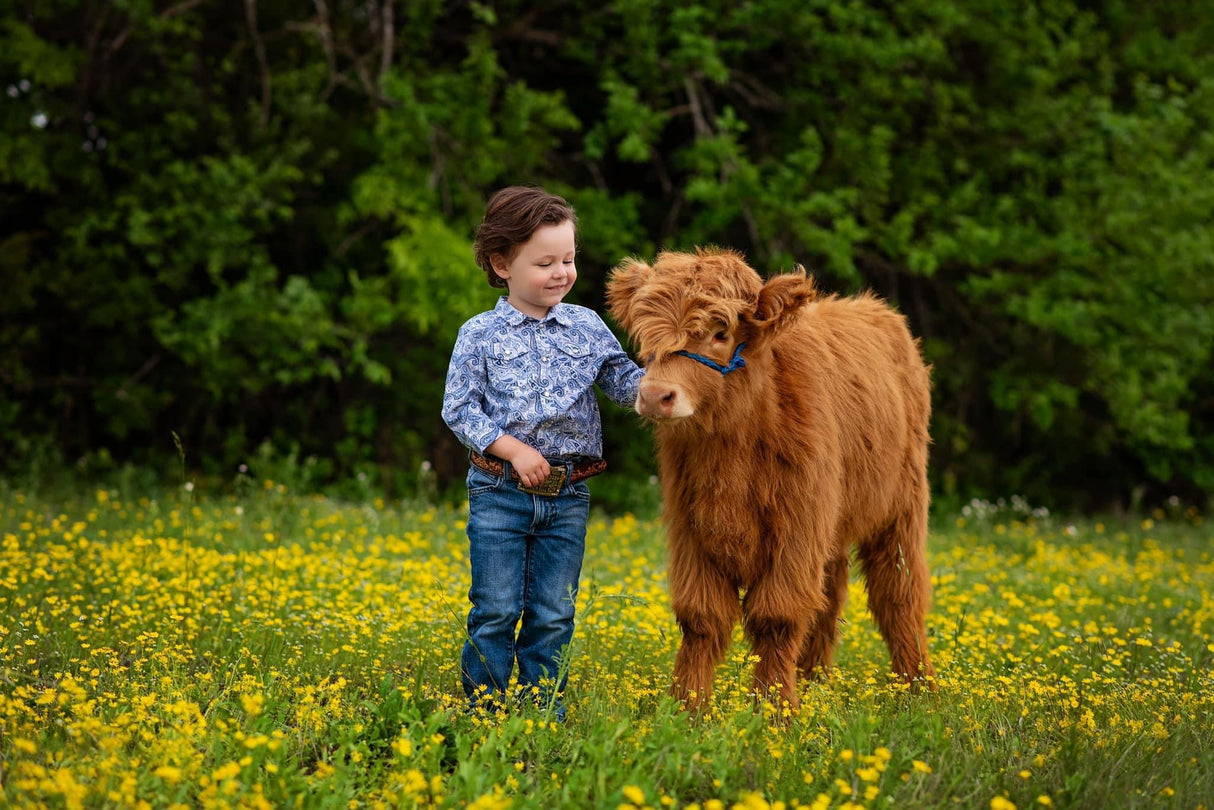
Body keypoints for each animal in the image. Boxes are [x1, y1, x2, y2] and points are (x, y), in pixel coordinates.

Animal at [607, 248, 937, 714]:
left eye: (721, 332)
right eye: (644, 333)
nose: (655, 396)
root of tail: (878, 310)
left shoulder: (797, 528)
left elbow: (777, 616)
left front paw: (774, 710)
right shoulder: (690, 528)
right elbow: (701, 616)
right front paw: (687, 707)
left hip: (901, 507)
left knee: (899, 593)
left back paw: (917, 688)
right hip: (833, 524)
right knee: (831, 592)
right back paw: (814, 681)